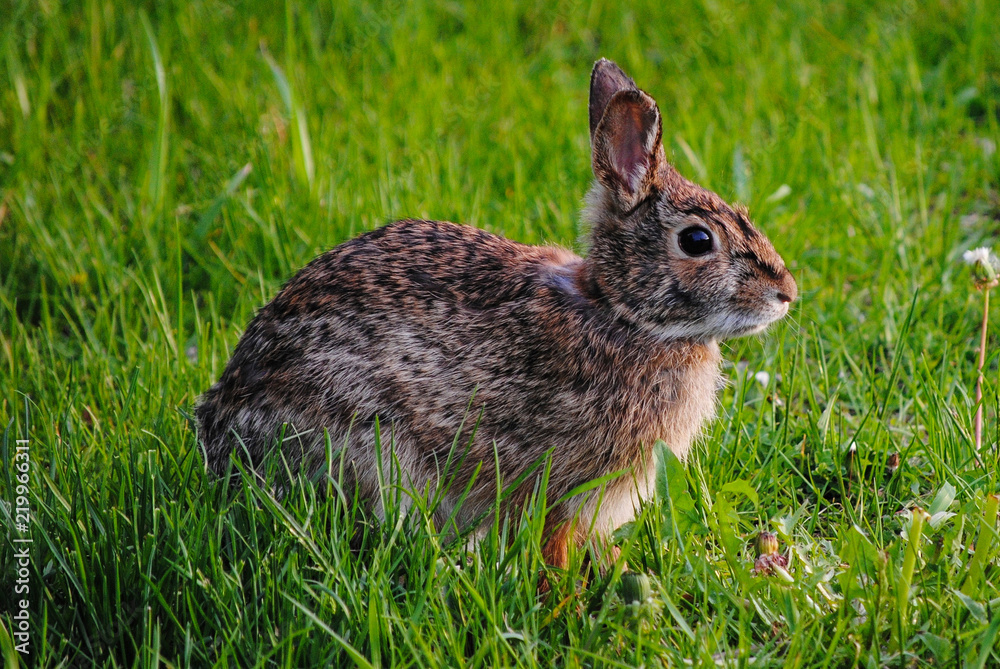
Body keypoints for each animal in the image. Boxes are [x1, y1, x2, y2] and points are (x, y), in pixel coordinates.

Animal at [196, 58, 797, 571]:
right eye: (697, 241)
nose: (786, 292)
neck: (621, 312)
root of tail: (221, 432)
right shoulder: (563, 483)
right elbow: (554, 539)